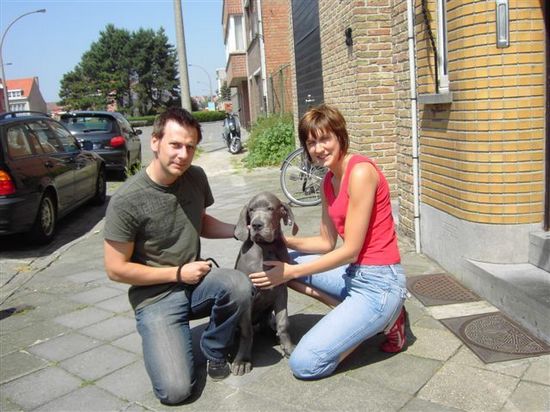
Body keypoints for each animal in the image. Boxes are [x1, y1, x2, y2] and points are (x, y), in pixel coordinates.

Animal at [231, 191, 298, 375]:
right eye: (251, 210)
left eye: (270, 209)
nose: (256, 225)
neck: (266, 248)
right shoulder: (247, 297)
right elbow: (246, 332)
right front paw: (242, 360)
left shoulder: (281, 290)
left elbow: (284, 322)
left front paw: (289, 347)